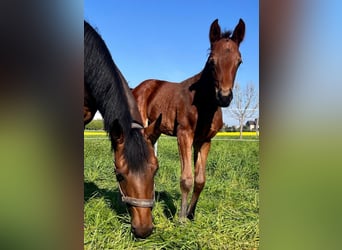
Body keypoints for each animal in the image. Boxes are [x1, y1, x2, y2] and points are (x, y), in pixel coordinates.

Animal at [132, 18, 246, 220]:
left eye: (239, 61)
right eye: (211, 61)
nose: (224, 97)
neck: (204, 103)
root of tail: (140, 86)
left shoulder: (205, 140)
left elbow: (200, 179)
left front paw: (191, 214)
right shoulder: (184, 135)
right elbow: (186, 178)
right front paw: (181, 218)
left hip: (154, 128)